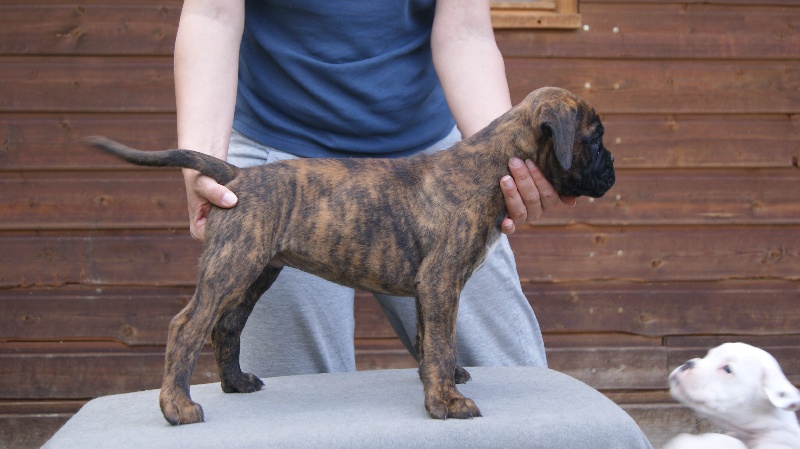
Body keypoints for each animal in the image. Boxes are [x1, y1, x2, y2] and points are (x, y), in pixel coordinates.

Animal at [84, 87, 615, 425]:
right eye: (594, 139)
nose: (613, 169)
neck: (487, 165)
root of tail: (236, 176)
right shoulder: (440, 281)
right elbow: (441, 342)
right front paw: (446, 402)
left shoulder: (428, 288)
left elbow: (429, 341)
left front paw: (440, 383)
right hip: (232, 266)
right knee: (187, 326)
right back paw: (177, 407)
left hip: (255, 271)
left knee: (225, 327)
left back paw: (236, 383)